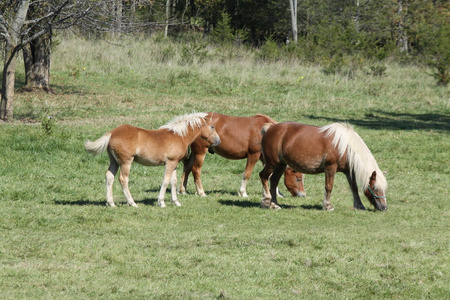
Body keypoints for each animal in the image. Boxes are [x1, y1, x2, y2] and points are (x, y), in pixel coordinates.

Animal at [85, 112, 221, 209]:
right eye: (212, 126)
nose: (218, 141)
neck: (179, 136)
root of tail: (112, 133)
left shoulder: (174, 163)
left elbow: (174, 181)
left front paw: (176, 202)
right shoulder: (170, 162)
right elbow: (166, 181)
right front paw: (161, 202)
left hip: (114, 161)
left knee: (109, 177)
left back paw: (111, 203)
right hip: (125, 161)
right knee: (123, 179)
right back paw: (132, 203)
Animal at [177, 112, 306, 197]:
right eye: (298, 178)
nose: (302, 195)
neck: (265, 131)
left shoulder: (265, 158)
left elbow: (269, 175)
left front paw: (273, 193)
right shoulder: (253, 155)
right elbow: (247, 174)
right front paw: (243, 192)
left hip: (195, 153)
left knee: (187, 167)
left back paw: (182, 190)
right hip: (200, 151)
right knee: (195, 170)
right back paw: (201, 192)